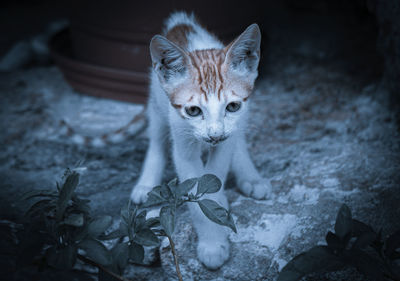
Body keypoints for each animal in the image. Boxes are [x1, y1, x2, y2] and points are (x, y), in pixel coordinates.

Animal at [131, 12, 272, 268]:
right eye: (194, 111)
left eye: (232, 106)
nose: (214, 135)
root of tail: (181, 23)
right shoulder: (182, 144)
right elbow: (197, 189)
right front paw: (212, 243)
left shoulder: (229, 133)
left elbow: (216, 173)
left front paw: (215, 231)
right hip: (157, 105)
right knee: (157, 140)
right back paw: (146, 183)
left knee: (238, 140)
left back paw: (250, 177)